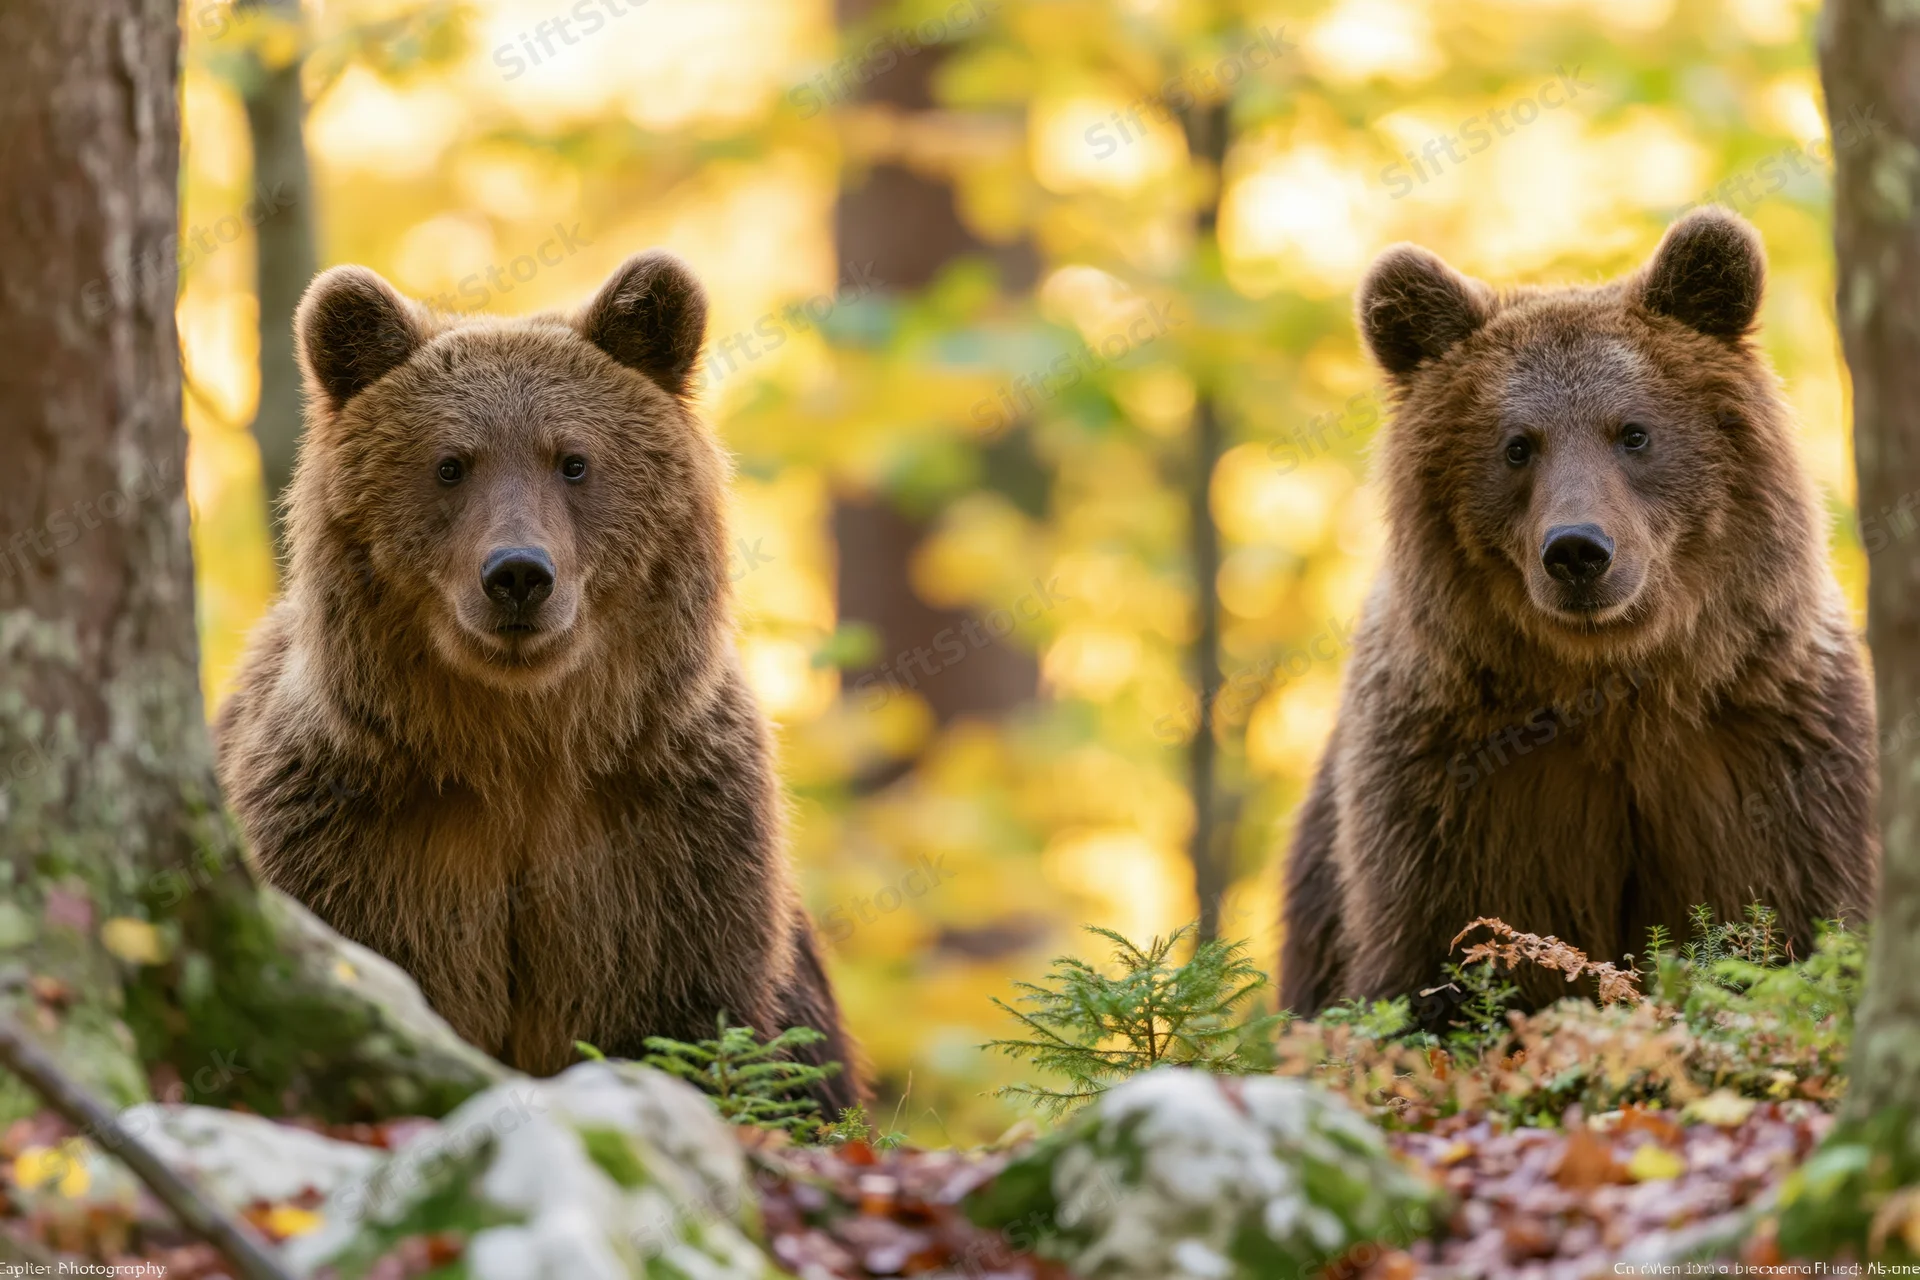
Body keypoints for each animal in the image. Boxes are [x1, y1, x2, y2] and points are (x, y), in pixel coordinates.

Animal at [215, 251, 860, 1109]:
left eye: (574, 460)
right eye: (451, 464)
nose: (518, 574)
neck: (521, 745)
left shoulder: (665, 838)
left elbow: (679, 1018)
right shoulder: (364, 832)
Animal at [1279, 206, 1879, 1018]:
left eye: (1633, 431)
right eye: (1516, 446)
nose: (1576, 551)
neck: (1612, 692)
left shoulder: (1767, 751)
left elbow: (1791, 914)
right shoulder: (1455, 788)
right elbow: (1438, 963)